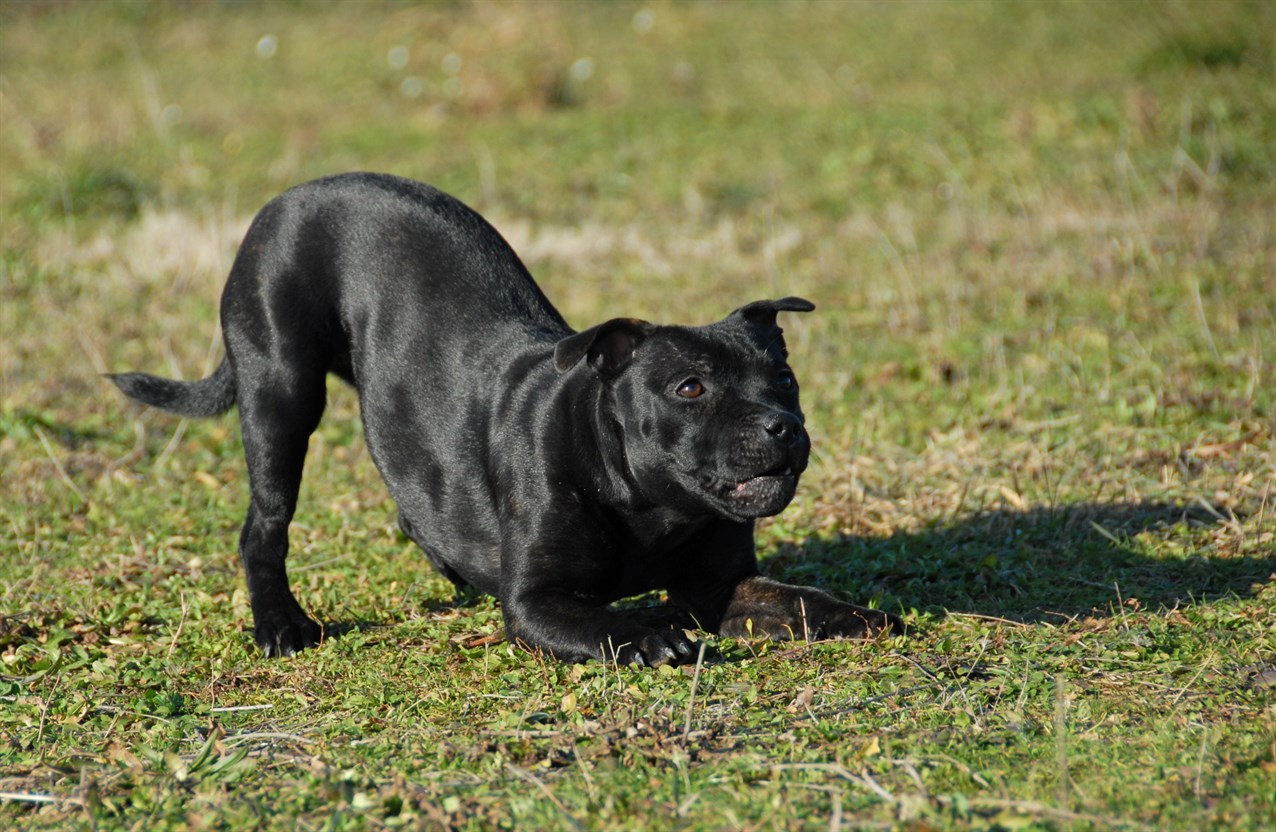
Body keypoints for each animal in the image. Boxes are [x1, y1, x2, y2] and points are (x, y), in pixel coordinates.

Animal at [114, 172, 903, 668]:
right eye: (690, 387)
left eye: (785, 379)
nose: (781, 425)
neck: (647, 502)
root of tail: (290, 197)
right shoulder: (537, 603)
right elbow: (603, 622)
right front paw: (645, 637)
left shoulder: (716, 587)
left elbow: (793, 602)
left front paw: (854, 614)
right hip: (281, 394)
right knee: (265, 525)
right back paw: (281, 625)